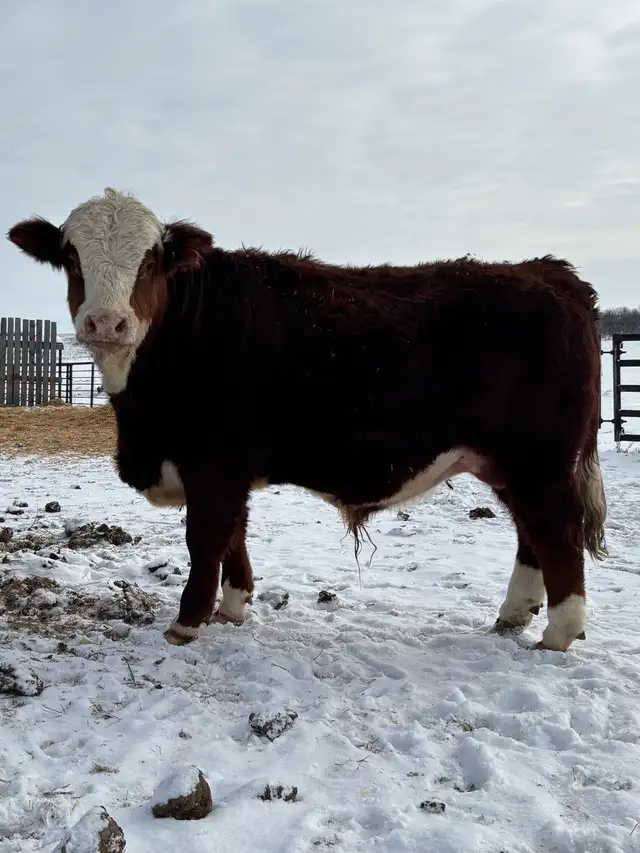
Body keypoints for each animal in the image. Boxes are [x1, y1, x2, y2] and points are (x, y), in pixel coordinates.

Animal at [7, 187, 608, 652]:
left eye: (150, 260)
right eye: (71, 257)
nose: (106, 322)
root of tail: (549, 272)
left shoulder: (213, 464)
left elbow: (206, 538)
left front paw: (187, 622)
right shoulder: (228, 468)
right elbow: (235, 536)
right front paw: (232, 608)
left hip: (540, 462)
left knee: (557, 530)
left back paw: (558, 634)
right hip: (507, 463)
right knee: (530, 532)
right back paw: (512, 616)